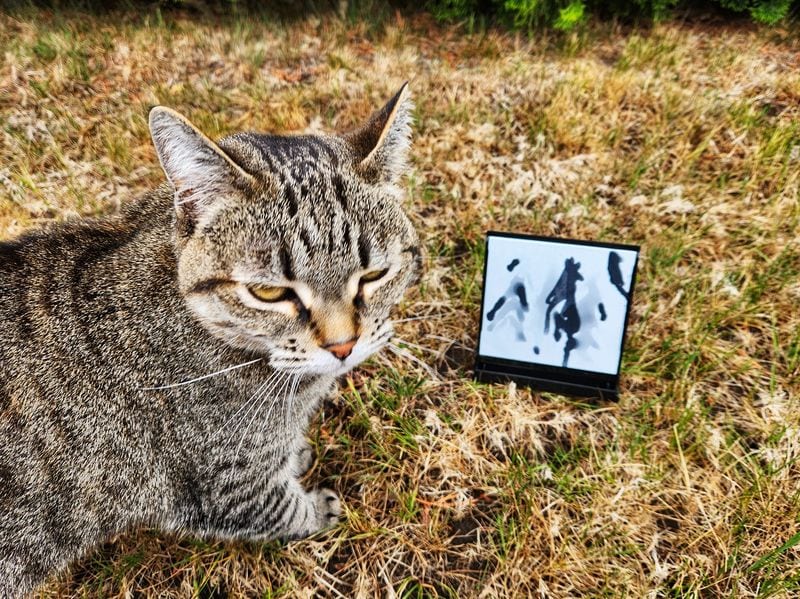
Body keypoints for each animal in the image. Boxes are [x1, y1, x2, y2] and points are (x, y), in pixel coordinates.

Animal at [0, 83, 422, 596]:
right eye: (269, 292)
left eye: (375, 275)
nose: (343, 345)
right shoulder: (228, 488)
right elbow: (286, 511)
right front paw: (318, 508)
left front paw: (296, 453)